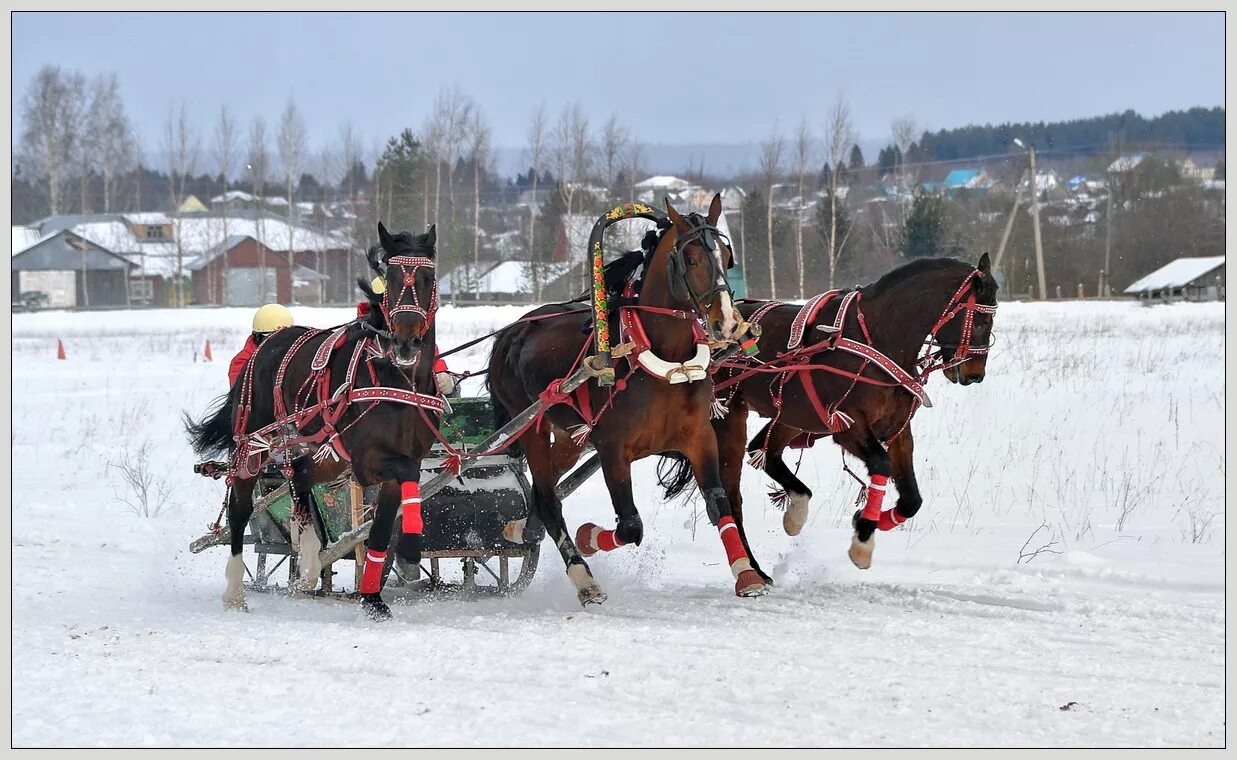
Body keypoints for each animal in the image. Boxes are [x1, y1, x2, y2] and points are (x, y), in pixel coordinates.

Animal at [186, 222, 445, 621]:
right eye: (391, 277)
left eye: (428, 278)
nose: (405, 342)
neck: (396, 380)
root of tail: (265, 346)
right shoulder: (367, 461)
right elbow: (408, 476)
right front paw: (410, 552)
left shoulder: (396, 461)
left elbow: (383, 525)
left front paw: (372, 597)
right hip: (254, 444)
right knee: (241, 508)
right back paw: (235, 592)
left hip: (326, 452)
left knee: (301, 475)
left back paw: (307, 555)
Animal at [487, 196, 766, 606]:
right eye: (691, 259)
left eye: (726, 255)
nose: (727, 323)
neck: (666, 361)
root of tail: (511, 333)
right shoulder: (611, 448)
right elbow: (631, 525)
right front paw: (588, 536)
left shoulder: (699, 437)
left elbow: (719, 503)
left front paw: (748, 574)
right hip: (532, 425)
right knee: (550, 500)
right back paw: (583, 579)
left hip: (571, 436)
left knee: (543, 489)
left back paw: (522, 528)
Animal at [663, 253, 999, 574]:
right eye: (981, 323)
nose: (974, 374)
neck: (876, 338)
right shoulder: (847, 425)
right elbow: (881, 463)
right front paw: (863, 539)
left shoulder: (898, 429)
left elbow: (912, 500)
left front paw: (865, 519)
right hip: (728, 415)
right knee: (732, 497)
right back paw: (753, 568)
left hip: (795, 415)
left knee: (764, 450)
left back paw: (796, 510)